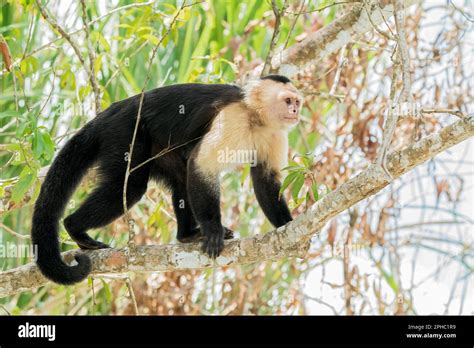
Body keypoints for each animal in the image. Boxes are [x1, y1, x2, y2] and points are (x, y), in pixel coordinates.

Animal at [31, 75, 302, 284]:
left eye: (297, 102)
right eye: (287, 101)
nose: (295, 111)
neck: (255, 117)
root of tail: (115, 109)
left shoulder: (275, 133)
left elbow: (266, 180)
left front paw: (286, 228)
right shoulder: (232, 117)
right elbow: (202, 166)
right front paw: (212, 229)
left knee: (181, 176)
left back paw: (187, 235)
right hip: (124, 132)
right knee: (132, 186)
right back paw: (74, 228)